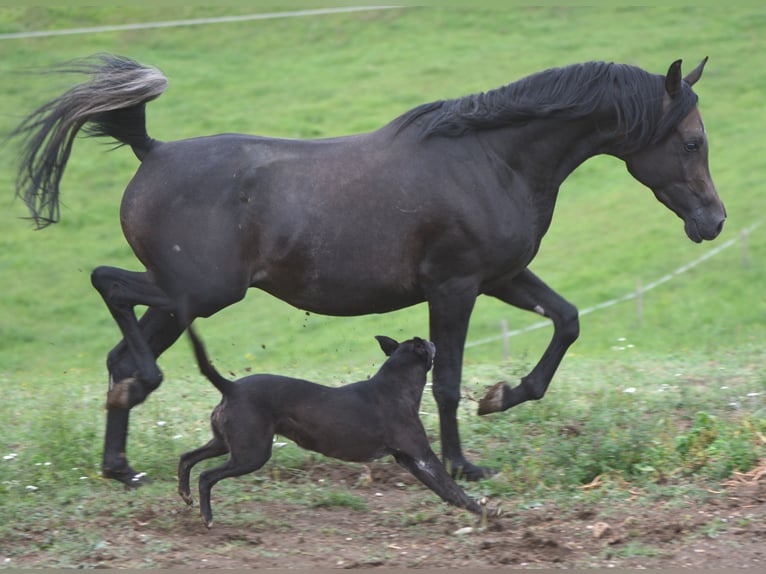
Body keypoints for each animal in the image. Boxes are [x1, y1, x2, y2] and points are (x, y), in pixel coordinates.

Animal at [10, 54, 725, 485]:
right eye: (692, 141)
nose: (713, 221)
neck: (493, 159)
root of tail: (150, 151)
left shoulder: (500, 278)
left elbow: (568, 322)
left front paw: (503, 396)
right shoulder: (455, 286)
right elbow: (447, 382)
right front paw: (463, 464)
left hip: (183, 301)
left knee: (118, 356)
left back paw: (121, 463)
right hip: (200, 292)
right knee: (109, 290)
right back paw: (139, 406)